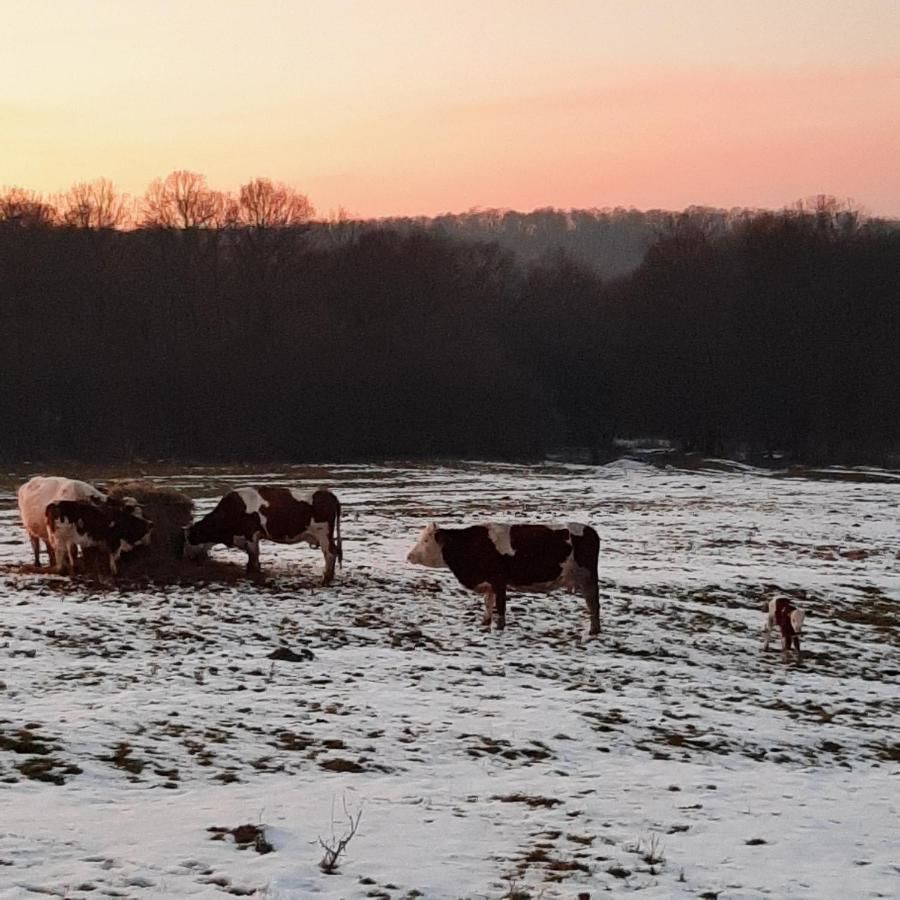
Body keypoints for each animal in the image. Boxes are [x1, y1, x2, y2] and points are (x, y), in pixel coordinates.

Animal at [182, 486, 342, 584]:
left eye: (188, 538)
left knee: (330, 554)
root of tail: (327, 493)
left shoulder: (251, 535)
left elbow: (253, 558)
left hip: (323, 534)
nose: (185, 556)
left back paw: (326, 578)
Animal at [406, 516, 600, 636]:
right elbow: (488, 603)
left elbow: (500, 606)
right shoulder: (489, 584)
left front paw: (499, 627)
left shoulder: (499, 581)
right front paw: (485, 623)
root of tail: (589, 530)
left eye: (425, 540)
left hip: (588, 578)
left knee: (593, 604)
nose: (409, 556)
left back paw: (593, 631)